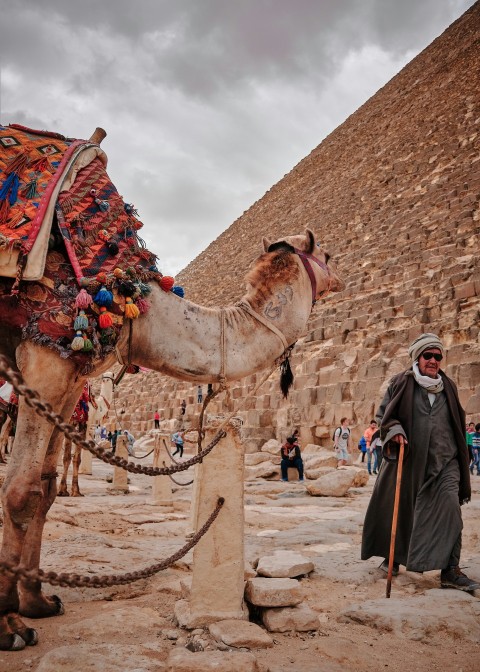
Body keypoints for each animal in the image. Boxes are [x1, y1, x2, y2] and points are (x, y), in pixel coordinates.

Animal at [0, 227, 344, 652]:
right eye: (327, 255)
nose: (341, 277)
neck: (138, 312)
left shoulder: (70, 381)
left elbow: (45, 490)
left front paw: (37, 603)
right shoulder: (45, 356)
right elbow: (22, 491)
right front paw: (9, 624)